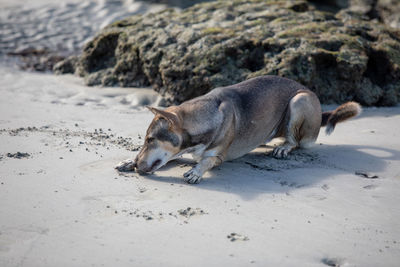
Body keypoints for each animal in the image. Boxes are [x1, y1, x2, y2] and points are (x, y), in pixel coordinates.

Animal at [114, 75, 360, 184]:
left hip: (299, 101)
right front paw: (128, 160)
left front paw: (196, 171)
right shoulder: (182, 151)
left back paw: (283, 147)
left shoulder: (218, 156)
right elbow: (170, 157)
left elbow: (206, 161)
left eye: (151, 139)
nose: (137, 165)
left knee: (296, 141)